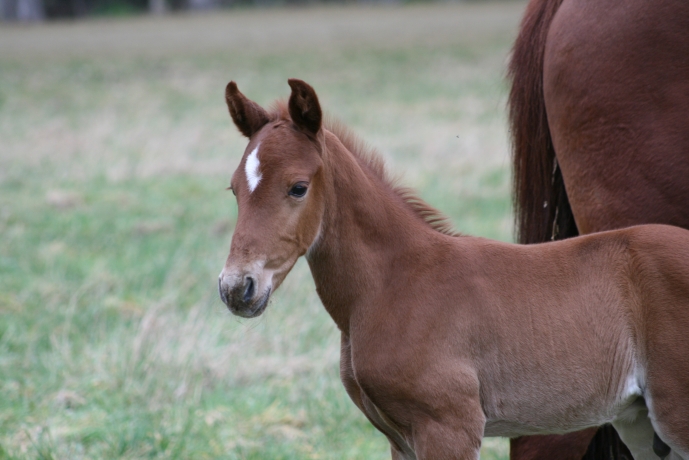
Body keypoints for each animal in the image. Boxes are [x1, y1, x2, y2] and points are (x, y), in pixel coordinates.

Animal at [216, 80, 688, 460]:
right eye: (234, 189)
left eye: (298, 187)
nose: (237, 287)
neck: (393, 285)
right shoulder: (401, 440)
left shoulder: (449, 427)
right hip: (639, 423)